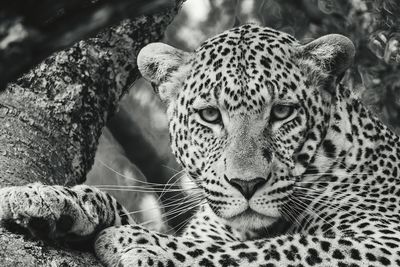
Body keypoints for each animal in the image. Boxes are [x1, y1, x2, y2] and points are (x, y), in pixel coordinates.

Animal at [0, 23, 400, 267]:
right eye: (209, 115)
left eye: (282, 112)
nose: (246, 184)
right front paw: (46, 198)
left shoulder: (383, 239)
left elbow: (276, 249)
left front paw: (138, 242)